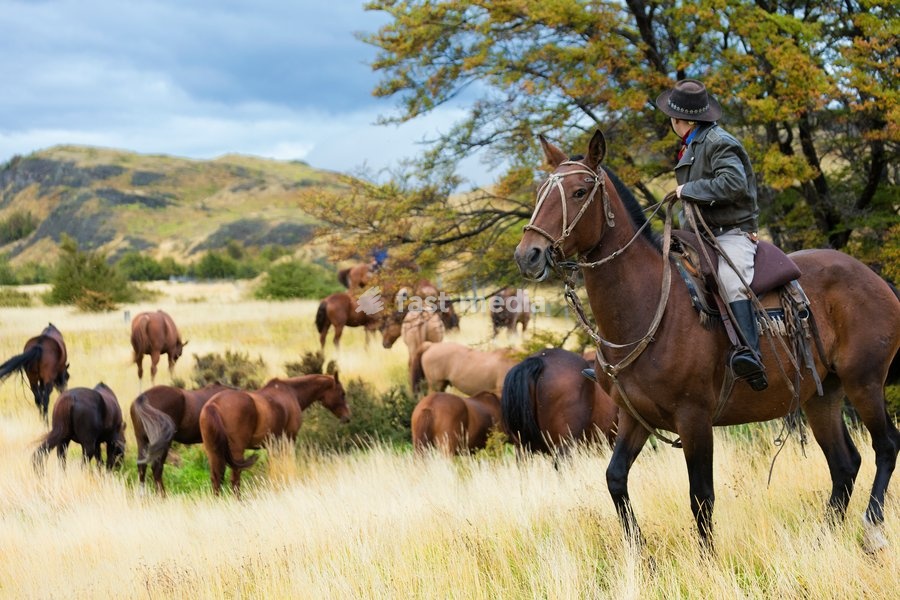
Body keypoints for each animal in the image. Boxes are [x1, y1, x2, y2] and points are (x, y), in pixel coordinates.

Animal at [199, 373, 349, 496]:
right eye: (342, 393)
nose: (347, 417)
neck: (291, 392)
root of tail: (213, 405)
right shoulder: (288, 439)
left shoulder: (273, 445)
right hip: (236, 452)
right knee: (234, 478)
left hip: (214, 453)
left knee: (216, 479)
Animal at [514, 130, 900, 552]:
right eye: (540, 192)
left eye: (580, 191)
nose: (528, 255)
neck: (649, 307)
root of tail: (875, 279)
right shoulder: (635, 419)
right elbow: (615, 478)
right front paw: (640, 553)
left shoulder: (694, 419)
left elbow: (701, 495)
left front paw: (707, 557)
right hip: (822, 395)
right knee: (844, 464)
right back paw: (821, 540)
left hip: (863, 382)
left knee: (885, 446)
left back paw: (873, 529)